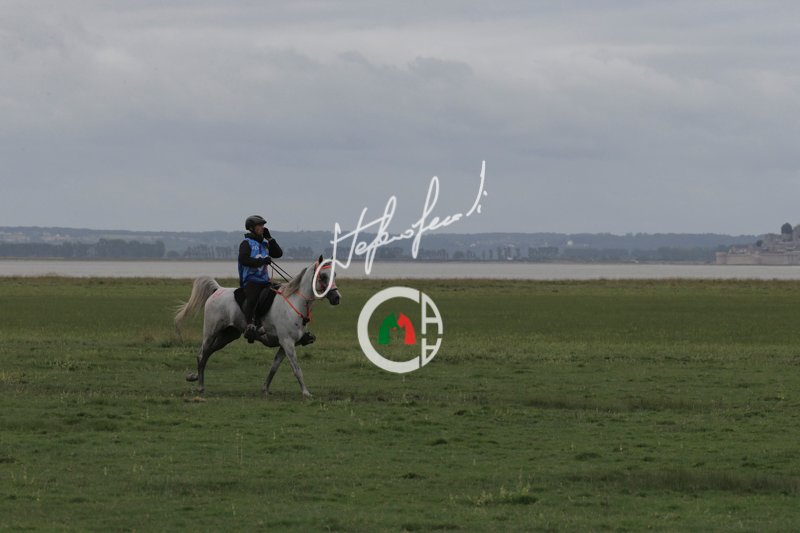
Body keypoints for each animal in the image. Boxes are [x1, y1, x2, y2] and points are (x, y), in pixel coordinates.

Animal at [174, 255, 340, 398]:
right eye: (323, 276)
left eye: (334, 274)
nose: (337, 298)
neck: (295, 303)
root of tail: (218, 290)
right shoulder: (287, 343)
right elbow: (297, 369)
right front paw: (306, 393)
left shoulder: (284, 345)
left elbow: (274, 368)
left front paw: (265, 389)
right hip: (211, 333)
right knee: (201, 355)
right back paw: (200, 386)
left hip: (228, 336)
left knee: (207, 354)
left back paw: (195, 378)